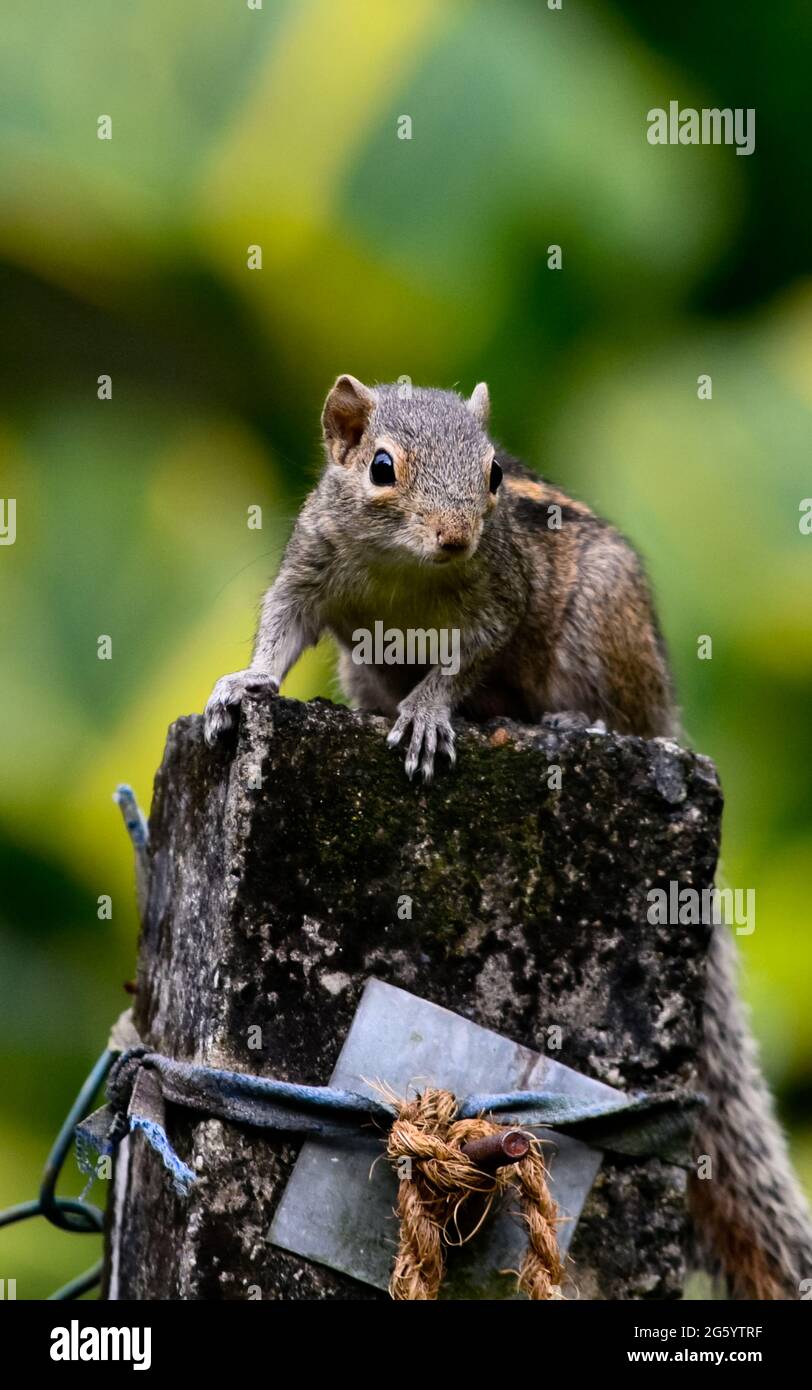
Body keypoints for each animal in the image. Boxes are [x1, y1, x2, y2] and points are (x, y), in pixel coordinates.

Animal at [204, 375, 811, 1295]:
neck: (406, 571)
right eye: (381, 467)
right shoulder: (310, 568)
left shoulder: (501, 599)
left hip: (603, 629)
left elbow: (465, 663)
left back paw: (571, 724)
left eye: (493, 474)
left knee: (606, 711)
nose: (458, 536)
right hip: (365, 666)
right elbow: (281, 627)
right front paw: (247, 685)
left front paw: (428, 713)